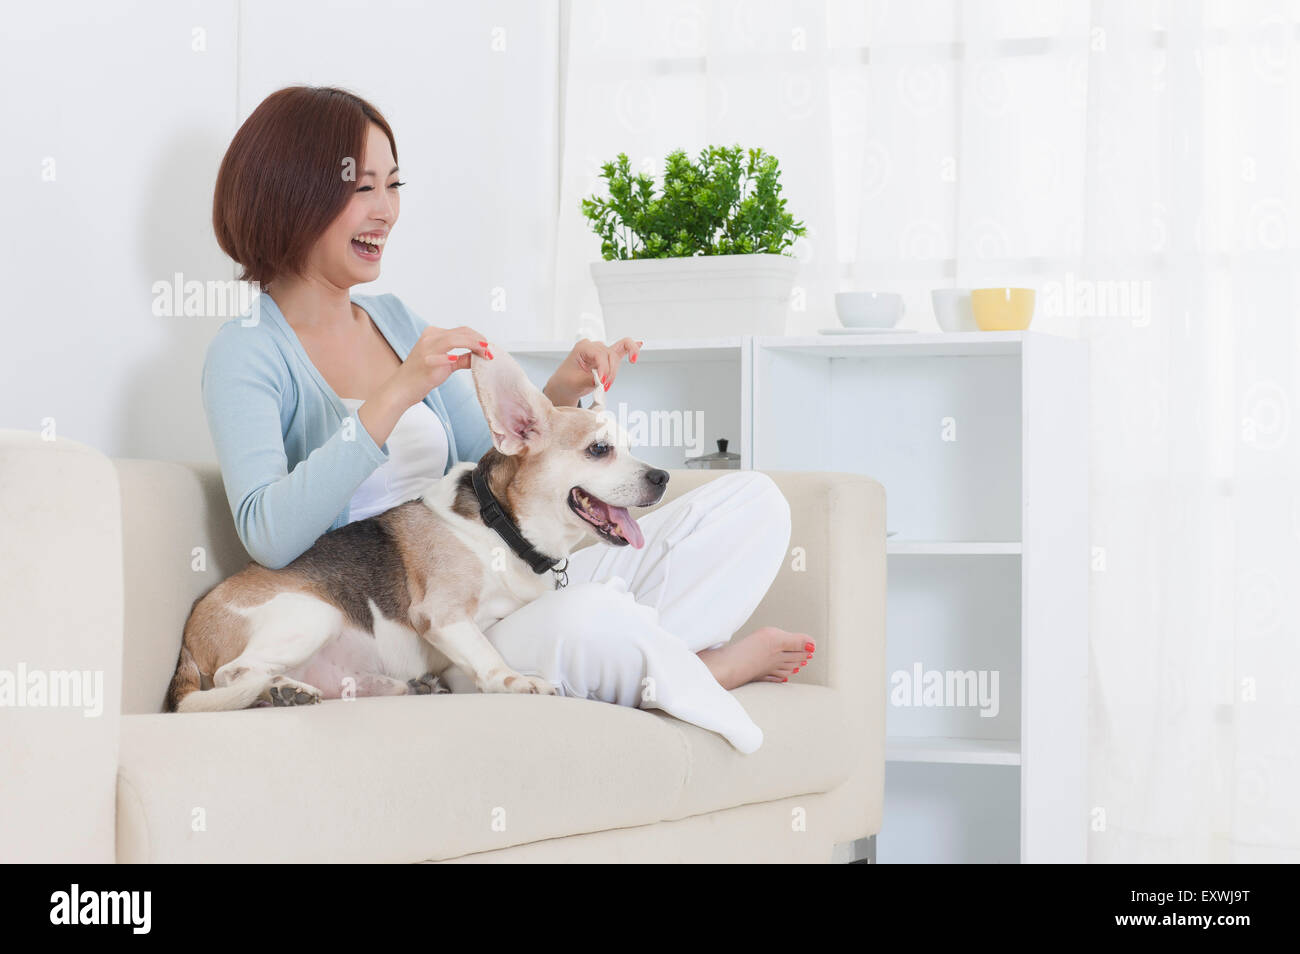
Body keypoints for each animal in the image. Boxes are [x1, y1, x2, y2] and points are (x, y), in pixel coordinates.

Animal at [163, 348, 670, 712]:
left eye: (630, 446)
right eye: (599, 449)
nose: (662, 476)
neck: (501, 531)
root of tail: (188, 637)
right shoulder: (442, 616)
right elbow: (490, 657)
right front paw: (517, 681)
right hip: (313, 614)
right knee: (234, 675)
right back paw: (279, 690)